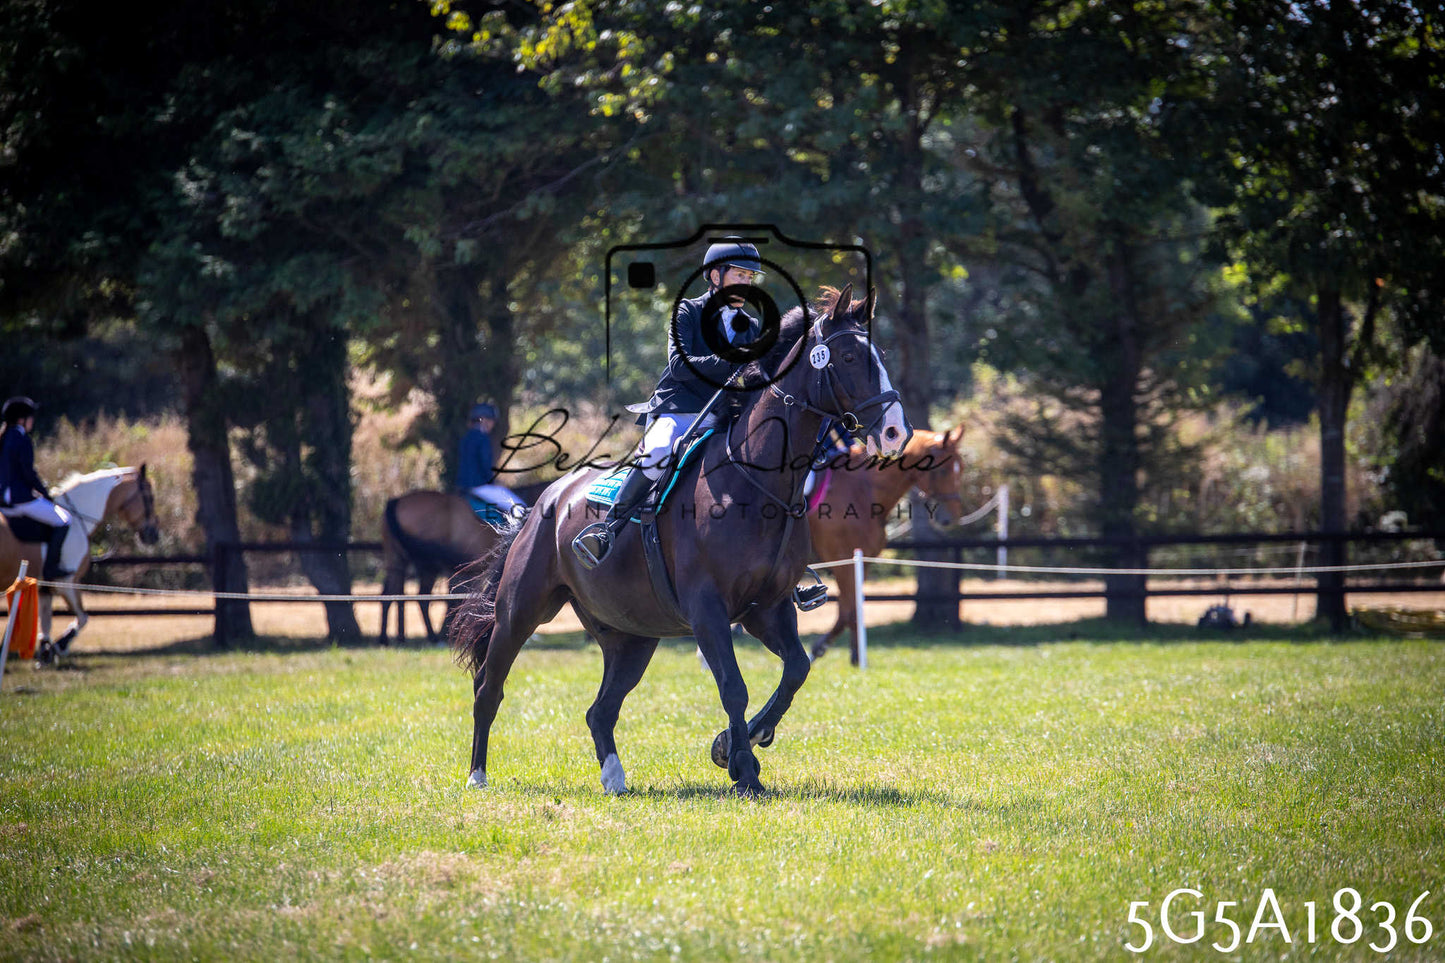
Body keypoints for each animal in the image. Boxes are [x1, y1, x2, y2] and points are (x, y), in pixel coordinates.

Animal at [0, 465, 159, 661]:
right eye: (150, 498)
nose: (154, 534)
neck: (78, 519)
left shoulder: (46, 586)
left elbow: (46, 621)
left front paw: (46, 652)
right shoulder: (66, 582)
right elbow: (83, 618)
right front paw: (60, 645)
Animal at [450, 283, 911, 797]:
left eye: (880, 355)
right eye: (849, 356)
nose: (896, 432)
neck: (755, 482)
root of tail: (543, 503)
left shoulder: (767, 608)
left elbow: (796, 670)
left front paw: (736, 745)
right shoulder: (707, 608)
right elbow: (733, 686)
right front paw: (744, 771)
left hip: (631, 637)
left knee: (600, 711)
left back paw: (615, 779)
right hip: (520, 612)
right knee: (489, 688)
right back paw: (477, 776)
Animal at [806, 426, 966, 664]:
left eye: (961, 468)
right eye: (943, 470)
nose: (951, 519)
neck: (863, 490)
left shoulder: (861, 559)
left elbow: (852, 607)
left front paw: (854, 656)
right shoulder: (840, 558)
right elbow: (849, 609)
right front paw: (819, 648)